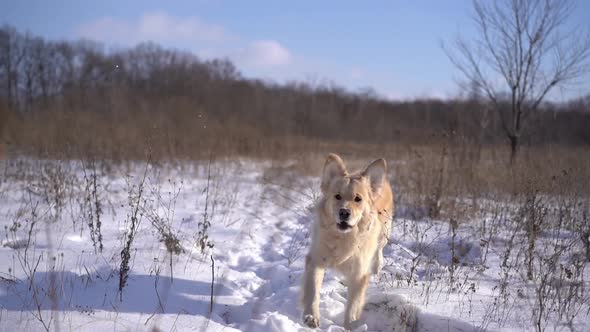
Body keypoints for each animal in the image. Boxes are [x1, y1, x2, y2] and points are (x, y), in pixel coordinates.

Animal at [306, 154, 394, 330]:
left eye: (358, 199)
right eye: (337, 196)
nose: (344, 212)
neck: (344, 237)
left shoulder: (359, 274)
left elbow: (353, 306)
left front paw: (350, 326)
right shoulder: (316, 260)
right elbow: (313, 291)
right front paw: (311, 317)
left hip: (385, 232)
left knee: (379, 249)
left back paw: (377, 265)